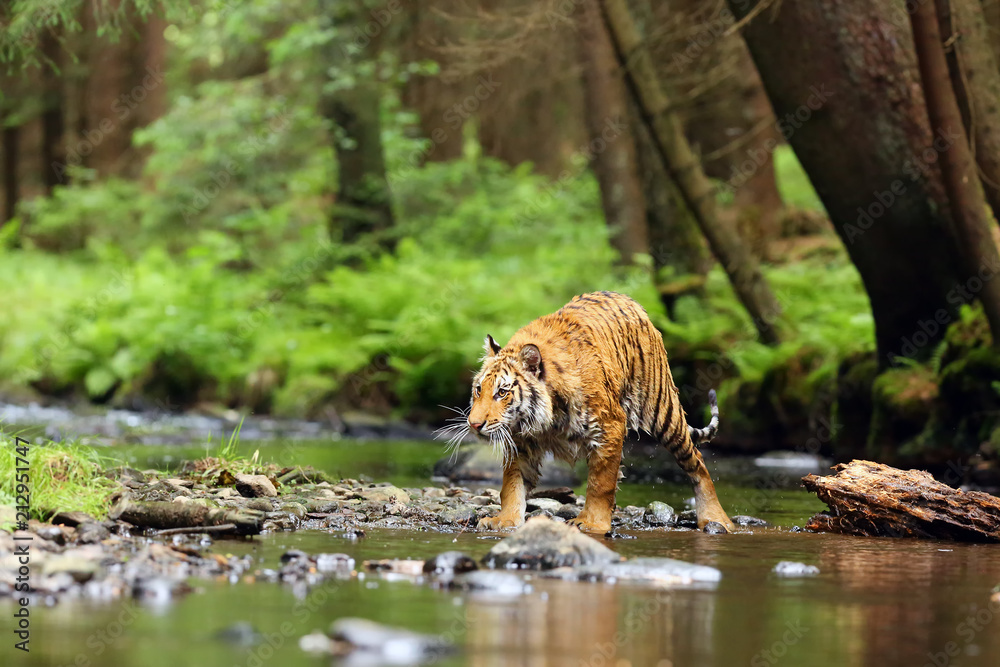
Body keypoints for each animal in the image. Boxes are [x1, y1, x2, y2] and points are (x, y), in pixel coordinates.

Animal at [460, 290, 736, 536]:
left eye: (502, 392)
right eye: (478, 389)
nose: (474, 424)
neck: (543, 420)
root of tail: (630, 300)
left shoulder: (609, 427)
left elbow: (600, 483)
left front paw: (591, 523)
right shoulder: (521, 442)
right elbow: (512, 483)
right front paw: (504, 521)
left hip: (663, 412)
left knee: (697, 464)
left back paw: (717, 519)